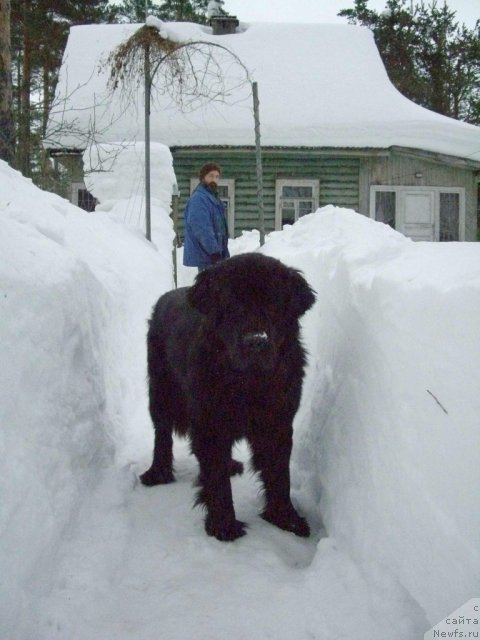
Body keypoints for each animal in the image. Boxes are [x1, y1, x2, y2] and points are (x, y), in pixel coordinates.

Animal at [141, 252, 316, 544]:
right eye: (233, 305)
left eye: (274, 303)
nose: (256, 341)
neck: (247, 383)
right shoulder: (210, 425)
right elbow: (216, 477)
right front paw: (223, 525)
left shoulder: (277, 422)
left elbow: (279, 475)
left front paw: (286, 519)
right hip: (161, 390)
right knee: (162, 433)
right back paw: (158, 472)